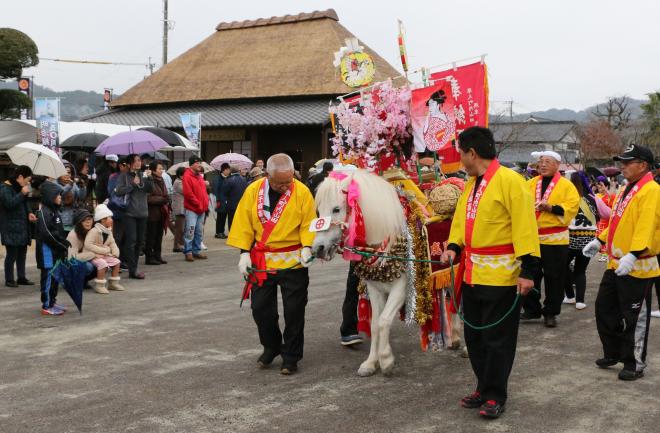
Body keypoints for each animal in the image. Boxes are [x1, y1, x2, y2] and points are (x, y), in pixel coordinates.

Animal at [310, 169, 408, 374]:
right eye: (319, 211)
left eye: (336, 209)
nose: (318, 249)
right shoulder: (375, 289)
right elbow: (375, 324)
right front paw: (370, 363)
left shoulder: (401, 288)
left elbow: (384, 320)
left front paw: (386, 360)